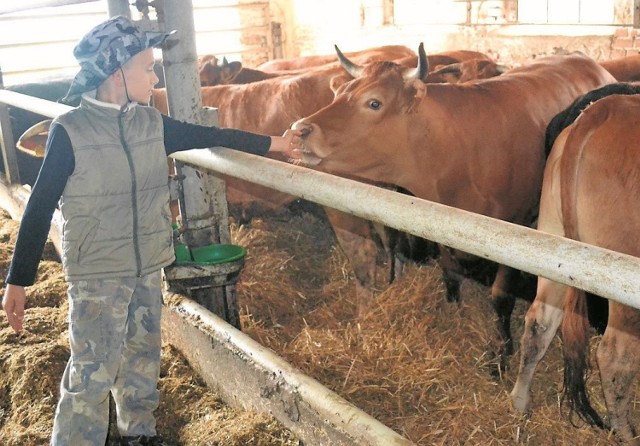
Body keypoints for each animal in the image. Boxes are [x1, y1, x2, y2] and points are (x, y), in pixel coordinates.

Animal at [292, 42, 616, 362]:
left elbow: (500, 296)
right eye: (340, 93)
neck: (453, 148)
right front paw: (454, 312)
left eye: (374, 103)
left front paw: (502, 351)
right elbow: (449, 273)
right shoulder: (442, 227)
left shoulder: (516, 226)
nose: (299, 129)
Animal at [512, 94, 640, 442]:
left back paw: (519, 402)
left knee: (539, 323)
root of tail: (607, 108)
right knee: (615, 357)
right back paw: (626, 433)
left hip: (553, 245)